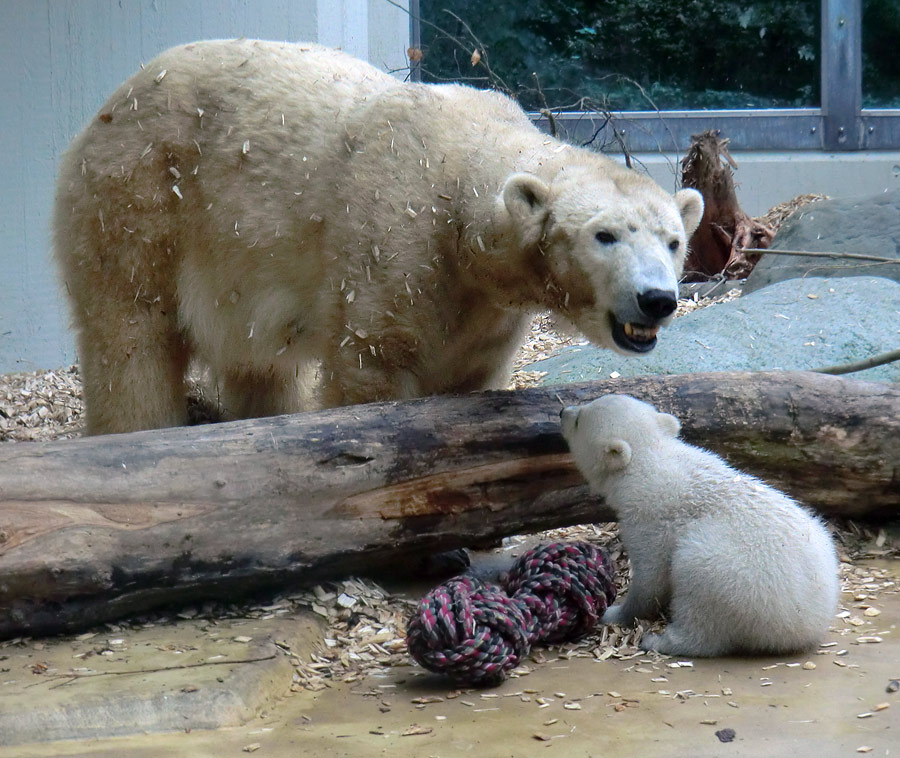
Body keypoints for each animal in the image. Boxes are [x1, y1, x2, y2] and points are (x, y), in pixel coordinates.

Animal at [54, 40, 704, 434]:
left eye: (673, 241)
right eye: (605, 235)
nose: (657, 299)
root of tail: (107, 106)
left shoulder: (483, 311)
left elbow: (466, 376)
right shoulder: (395, 239)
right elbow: (373, 370)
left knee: (257, 362)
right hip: (140, 198)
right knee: (132, 332)